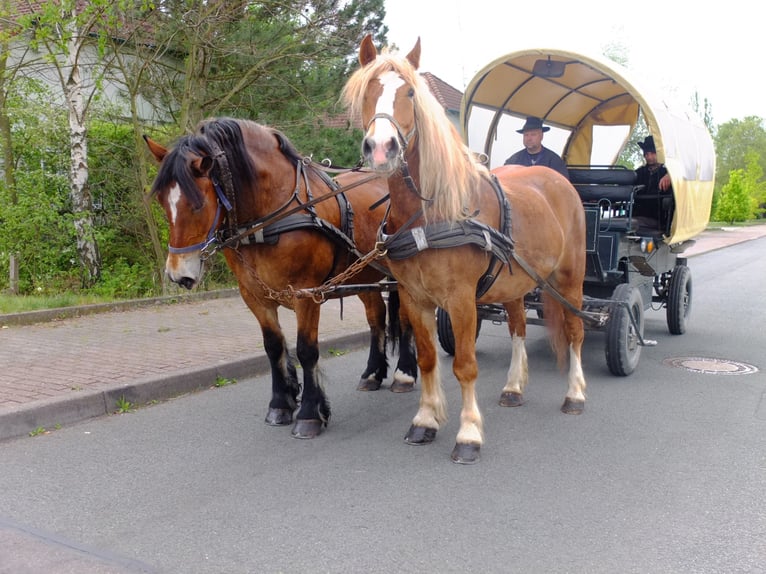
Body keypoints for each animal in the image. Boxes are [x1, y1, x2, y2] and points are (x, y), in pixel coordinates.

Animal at [144, 117, 420, 440]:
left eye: (198, 204)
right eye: (162, 201)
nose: (178, 274)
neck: (270, 218)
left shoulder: (306, 293)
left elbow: (306, 350)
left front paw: (310, 413)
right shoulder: (254, 296)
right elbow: (273, 347)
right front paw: (280, 404)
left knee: (406, 320)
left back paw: (404, 375)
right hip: (365, 272)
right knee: (376, 319)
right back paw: (372, 374)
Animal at [344, 36, 592, 466]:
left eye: (410, 92)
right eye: (368, 91)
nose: (381, 148)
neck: (430, 215)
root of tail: (557, 179)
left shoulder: (460, 299)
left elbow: (464, 365)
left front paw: (469, 434)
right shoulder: (414, 298)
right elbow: (427, 359)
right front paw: (425, 421)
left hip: (569, 277)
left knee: (575, 331)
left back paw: (575, 394)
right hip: (515, 282)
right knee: (518, 327)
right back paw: (513, 388)